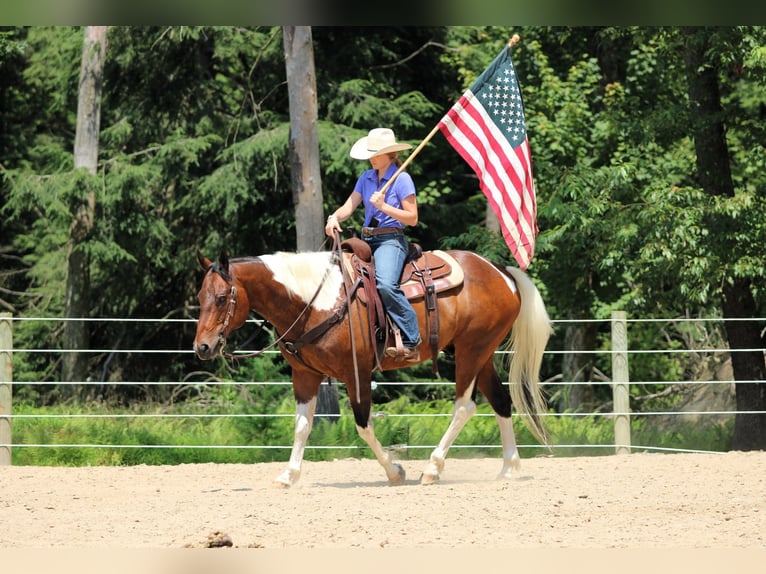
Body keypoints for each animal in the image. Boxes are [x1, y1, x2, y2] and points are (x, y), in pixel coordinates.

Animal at [193, 246, 552, 487]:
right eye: (200, 297)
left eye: (222, 298)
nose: (202, 347)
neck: (315, 302)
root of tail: (501, 271)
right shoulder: (305, 375)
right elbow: (302, 426)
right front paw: (289, 475)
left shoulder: (356, 373)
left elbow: (364, 425)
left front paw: (395, 471)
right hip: (482, 352)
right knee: (501, 402)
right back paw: (508, 468)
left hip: (470, 351)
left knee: (464, 406)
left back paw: (432, 468)